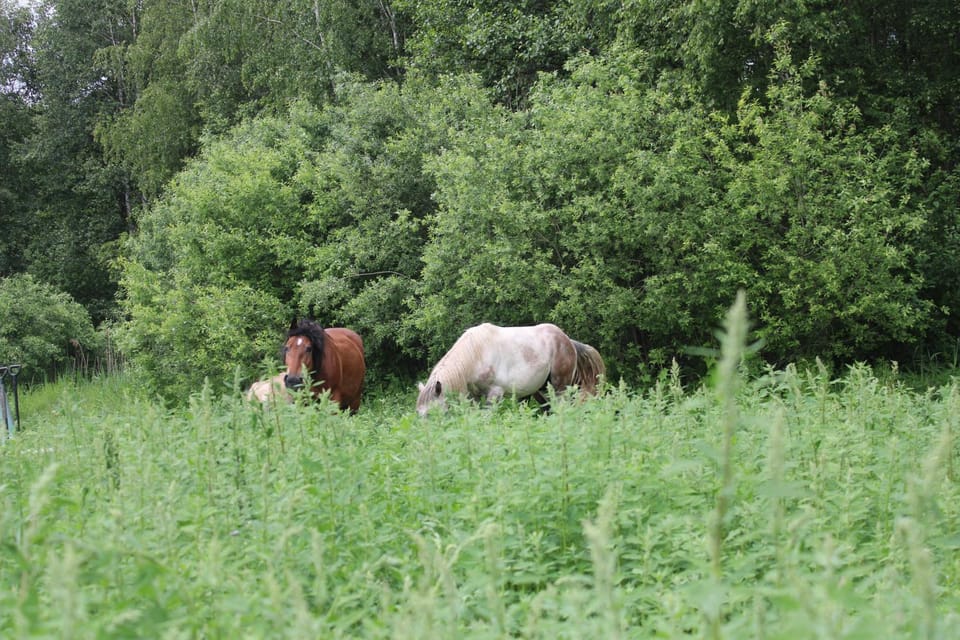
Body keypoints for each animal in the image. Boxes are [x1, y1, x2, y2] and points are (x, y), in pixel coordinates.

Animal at [416, 323, 605, 416]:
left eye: (432, 414)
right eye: (419, 414)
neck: (477, 354)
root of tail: (567, 340)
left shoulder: (495, 394)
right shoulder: (474, 397)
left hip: (560, 387)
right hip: (538, 389)